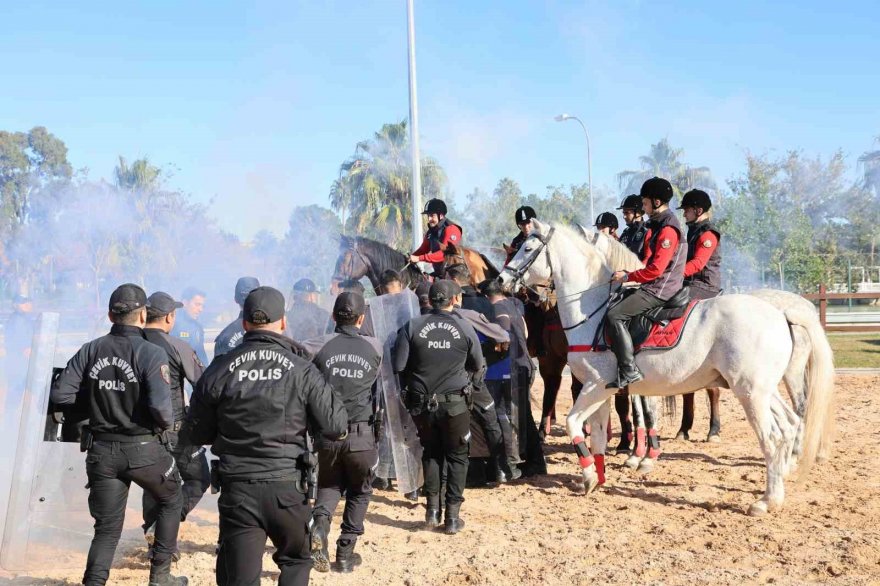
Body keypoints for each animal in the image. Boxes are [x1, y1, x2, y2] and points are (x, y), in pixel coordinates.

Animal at [498, 220, 836, 516]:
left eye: (528, 248)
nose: (500, 281)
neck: (593, 312)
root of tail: (781, 312)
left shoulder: (595, 387)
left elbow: (574, 424)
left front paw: (598, 474)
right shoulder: (603, 391)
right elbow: (597, 436)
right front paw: (598, 476)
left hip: (752, 394)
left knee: (772, 436)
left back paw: (767, 500)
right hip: (764, 391)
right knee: (790, 424)